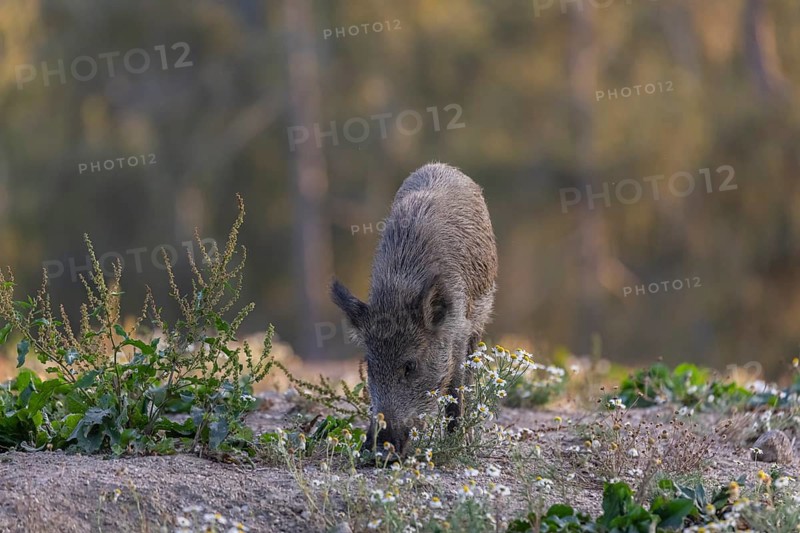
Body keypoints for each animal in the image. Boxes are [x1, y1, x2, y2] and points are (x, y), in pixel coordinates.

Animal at [331, 162, 498, 453]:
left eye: (410, 366)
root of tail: (441, 165)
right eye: (370, 365)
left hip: (480, 317)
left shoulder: (460, 330)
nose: (378, 446)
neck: (399, 290)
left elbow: (455, 389)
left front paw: (457, 443)